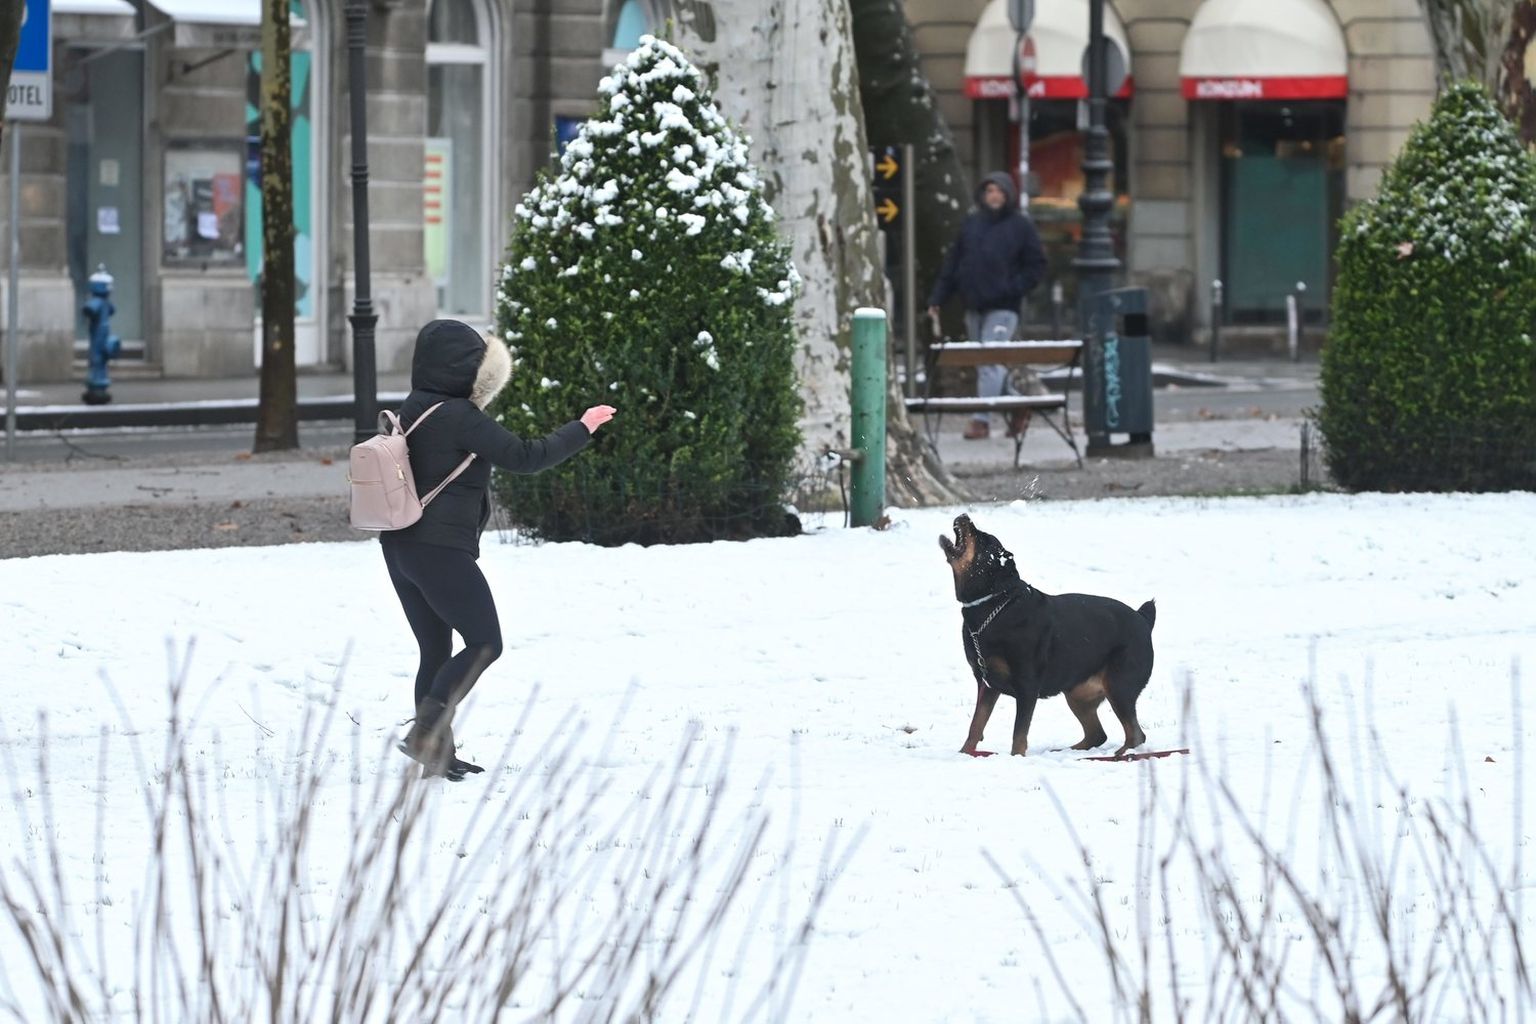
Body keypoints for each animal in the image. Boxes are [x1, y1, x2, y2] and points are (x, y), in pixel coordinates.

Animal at [938, 514, 1156, 757]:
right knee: (1097, 734)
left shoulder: (1027, 684)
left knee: (1135, 734)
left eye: (983, 539)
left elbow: (1019, 732)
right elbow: (976, 725)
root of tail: (1143, 619)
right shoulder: (987, 684)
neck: (993, 603)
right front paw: (964, 754)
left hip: (1119, 685)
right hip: (1078, 693)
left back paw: (1121, 756)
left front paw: (1016, 757)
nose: (964, 516)